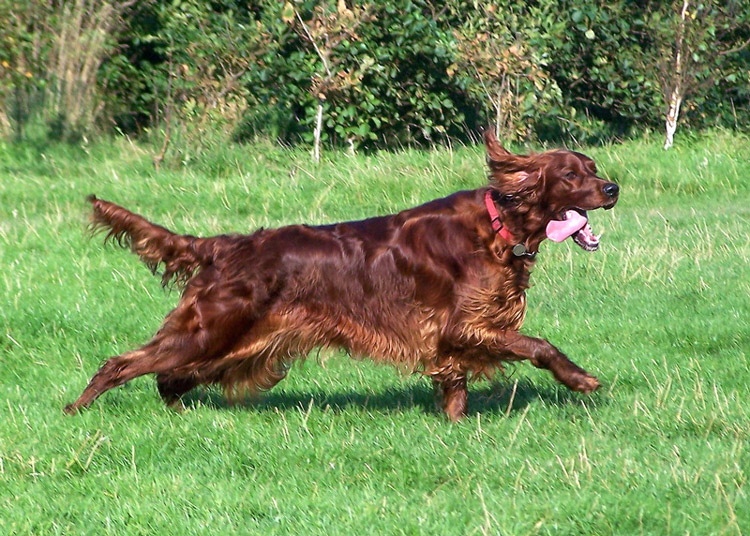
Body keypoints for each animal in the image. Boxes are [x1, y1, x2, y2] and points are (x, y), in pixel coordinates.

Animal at [64, 132, 620, 420]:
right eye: (571, 175)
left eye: (594, 167)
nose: (613, 188)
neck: (499, 223)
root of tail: (224, 244)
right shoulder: (462, 326)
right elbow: (538, 345)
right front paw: (581, 379)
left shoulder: (451, 338)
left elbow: (456, 385)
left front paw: (455, 425)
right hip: (209, 330)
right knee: (121, 364)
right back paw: (75, 409)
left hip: (233, 345)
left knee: (169, 377)